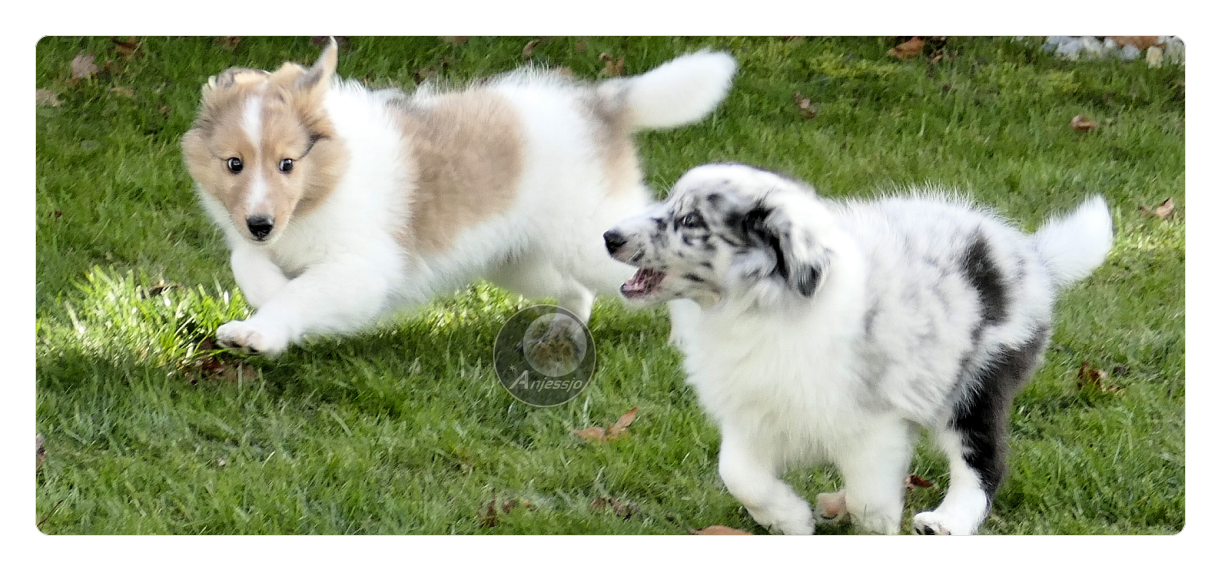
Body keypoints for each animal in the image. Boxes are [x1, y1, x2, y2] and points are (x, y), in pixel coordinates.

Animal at [180, 40, 732, 353]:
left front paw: (261, 332)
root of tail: (601, 106)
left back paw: (683, 342)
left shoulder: (361, 269)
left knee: (662, 275)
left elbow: (302, 293)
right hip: (517, 259)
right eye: (234, 164)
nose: (261, 224)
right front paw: (268, 296)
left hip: (591, 239)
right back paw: (563, 331)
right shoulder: (257, 240)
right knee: (576, 289)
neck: (325, 184)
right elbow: (248, 265)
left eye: (287, 164)